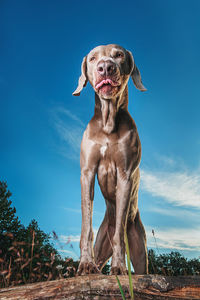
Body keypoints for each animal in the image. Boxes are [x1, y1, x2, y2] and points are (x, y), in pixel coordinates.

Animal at [72, 43, 148, 276]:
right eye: (93, 58)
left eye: (119, 55)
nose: (105, 67)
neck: (108, 123)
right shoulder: (87, 173)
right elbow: (86, 226)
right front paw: (85, 264)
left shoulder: (125, 176)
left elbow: (119, 237)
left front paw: (119, 267)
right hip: (102, 241)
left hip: (140, 250)